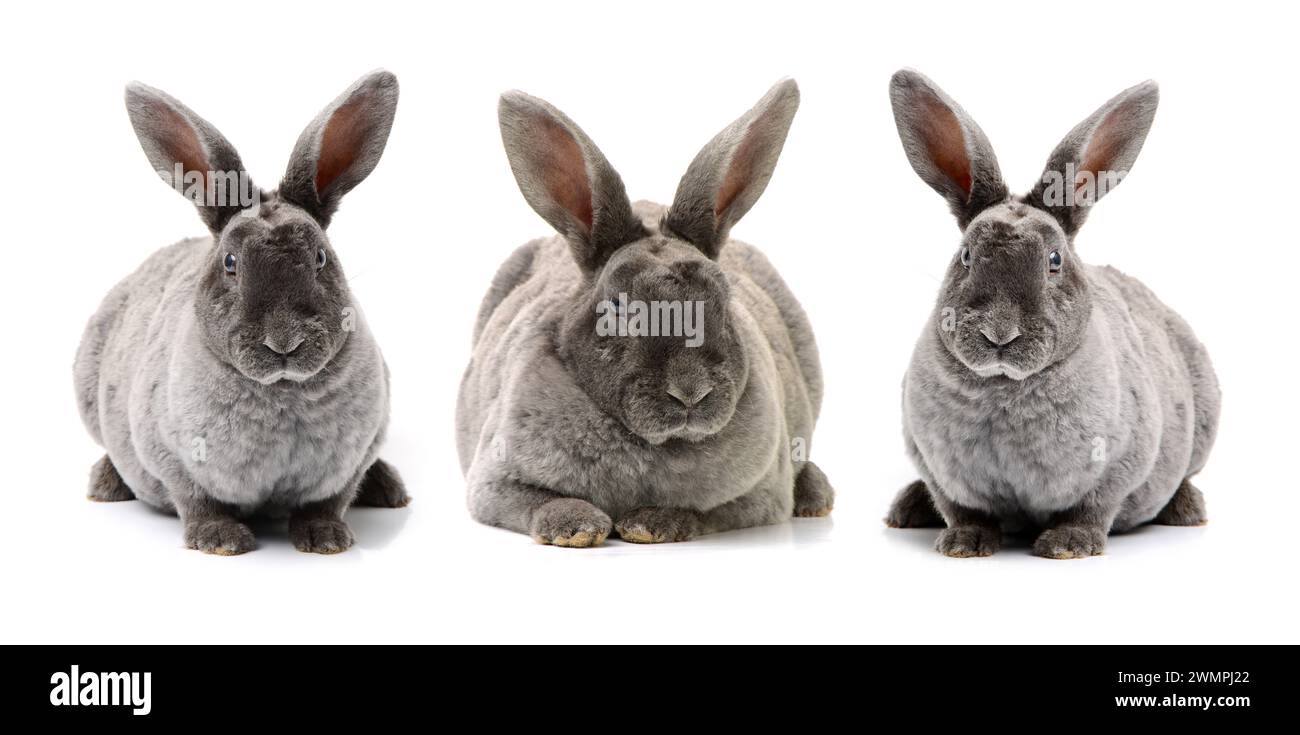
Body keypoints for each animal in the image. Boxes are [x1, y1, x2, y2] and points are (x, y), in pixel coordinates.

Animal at [73, 71, 410, 555]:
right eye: (230, 263)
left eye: (321, 258)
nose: (284, 342)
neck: (283, 391)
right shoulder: (170, 456)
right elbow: (195, 500)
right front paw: (221, 540)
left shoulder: (357, 454)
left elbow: (329, 501)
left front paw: (326, 539)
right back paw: (105, 484)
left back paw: (389, 489)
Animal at [456, 79, 834, 547]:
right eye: (618, 309)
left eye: (725, 299)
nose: (690, 392)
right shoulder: (493, 482)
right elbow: (536, 502)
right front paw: (578, 528)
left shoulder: (760, 495)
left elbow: (703, 514)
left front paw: (647, 525)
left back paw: (816, 495)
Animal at [884, 69, 1220, 558]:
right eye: (965, 256)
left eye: (1054, 260)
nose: (999, 334)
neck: (1004, 386)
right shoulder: (933, 465)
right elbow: (962, 509)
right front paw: (964, 543)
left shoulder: (1119, 462)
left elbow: (1093, 508)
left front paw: (1067, 545)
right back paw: (906, 509)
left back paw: (1187, 510)